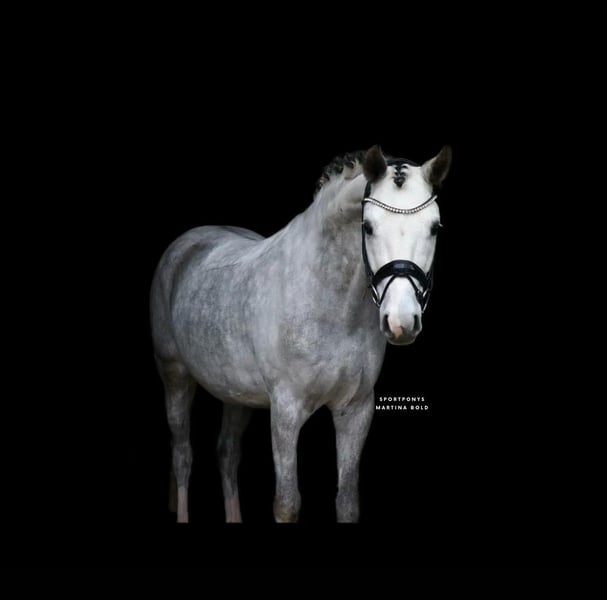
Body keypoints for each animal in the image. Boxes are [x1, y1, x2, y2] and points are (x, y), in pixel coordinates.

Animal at [150, 145, 451, 522]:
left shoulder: (356, 410)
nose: (401, 321)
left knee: (227, 455)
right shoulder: (286, 410)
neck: (328, 299)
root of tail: (184, 245)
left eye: (434, 228)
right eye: (367, 227)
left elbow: (347, 501)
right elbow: (287, 504)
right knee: (183, 455)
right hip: (175, 376)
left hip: (236, 395)